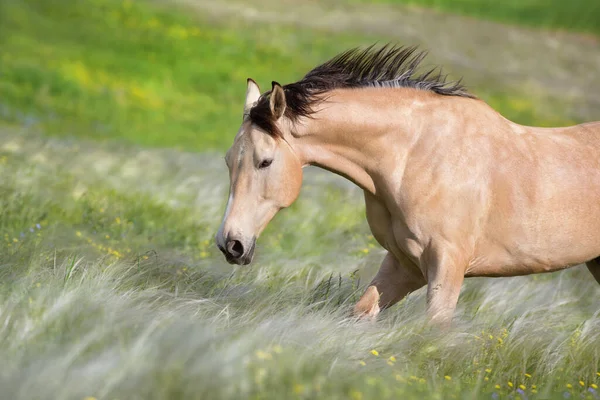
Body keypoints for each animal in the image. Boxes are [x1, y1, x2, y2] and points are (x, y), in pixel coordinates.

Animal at [216, 44, 600, 324]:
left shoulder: (447, 267)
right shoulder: (404, 266)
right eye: (228, 160)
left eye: (265, 161)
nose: (230, 244)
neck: (417, 155)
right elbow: (361, 314)